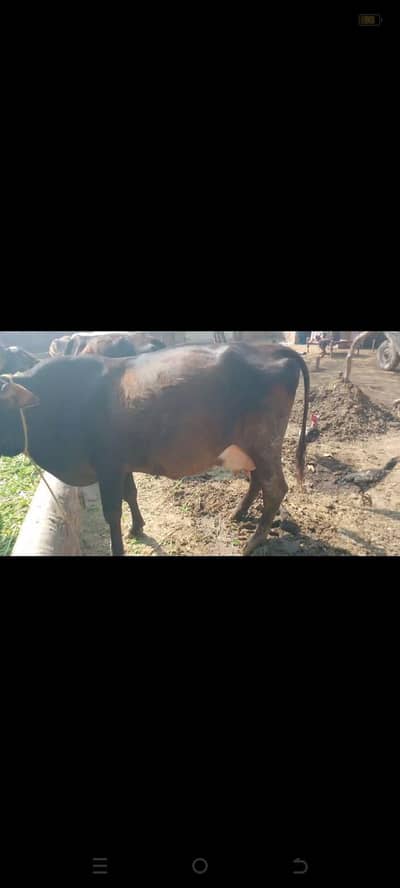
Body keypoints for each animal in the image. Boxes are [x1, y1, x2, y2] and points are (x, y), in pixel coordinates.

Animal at [0, 342, 309, 556]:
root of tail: (270, 348)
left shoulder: (108, 466)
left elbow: (113, 512)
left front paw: (119, 547)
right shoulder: (121, 464)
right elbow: (131, 494)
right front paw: (137, 527)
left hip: (264, 443)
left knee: (275, 488)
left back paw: (253, 542)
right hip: (250, 449)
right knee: (258, 481)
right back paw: (238, 514)